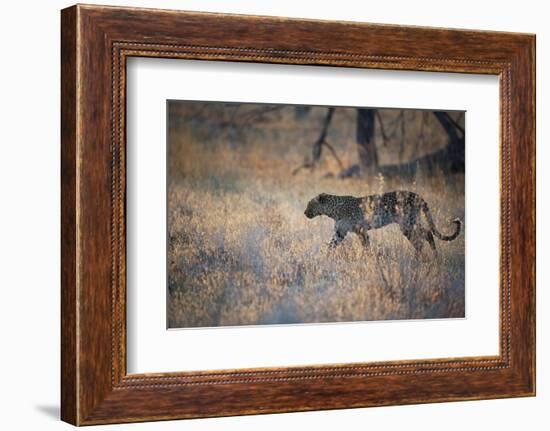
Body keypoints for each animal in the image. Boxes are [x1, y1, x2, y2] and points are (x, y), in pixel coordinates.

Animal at [304, 191, 464, 255]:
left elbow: (366, 246)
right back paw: (432, 257)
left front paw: (367, 259)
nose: (305, 213)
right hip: (411, 222)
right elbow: (331, 245)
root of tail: (416, 195)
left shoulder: (361, 230)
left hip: (407, 223)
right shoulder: (340, 232)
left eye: (309, 204)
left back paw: (420, 258)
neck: (332, 211)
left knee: (420, 240)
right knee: (427, 234)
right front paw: (325, 258)